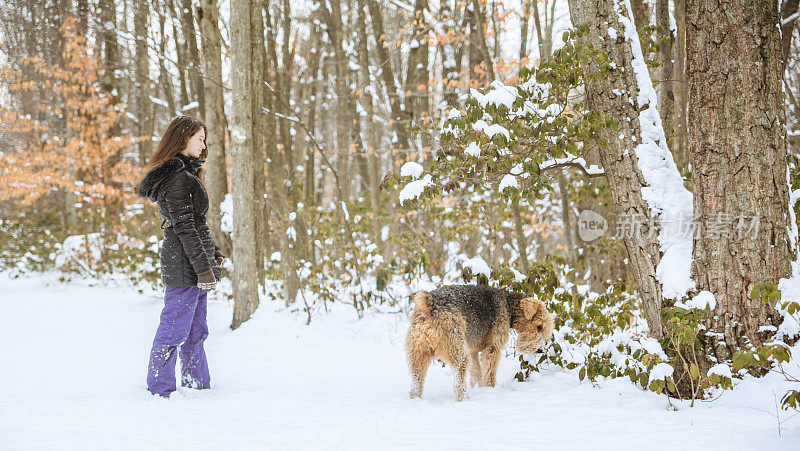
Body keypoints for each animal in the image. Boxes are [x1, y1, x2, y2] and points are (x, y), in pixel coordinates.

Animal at [406, 286, 552, 402]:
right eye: (539, 326)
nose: (540, 350)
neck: (508, 306)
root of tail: (429, 307)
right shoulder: (492, 347)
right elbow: (489, 372)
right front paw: (490, 389)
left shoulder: (473, 350)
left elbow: (476, 372)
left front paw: (478, 387)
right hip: (457, 351)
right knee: (458, 383)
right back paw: (464, 399)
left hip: (418, 353)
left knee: (416, 381)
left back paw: (415, 399)